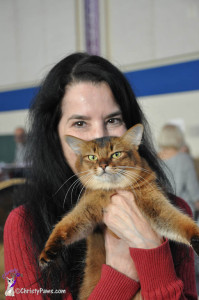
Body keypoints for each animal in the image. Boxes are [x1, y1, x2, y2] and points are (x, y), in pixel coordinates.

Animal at [39, 123, 199, 298]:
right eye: (92, 157)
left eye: (116, 154)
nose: (103, 165)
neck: (114, 189)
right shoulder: (88, 211)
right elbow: (66, 224)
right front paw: (49, 249)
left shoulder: (154, 204)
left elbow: (177, 221)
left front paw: (196, 236)